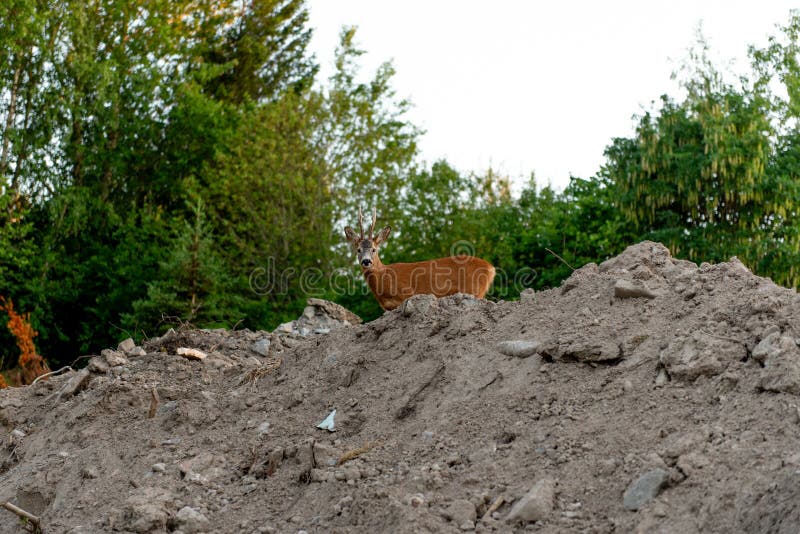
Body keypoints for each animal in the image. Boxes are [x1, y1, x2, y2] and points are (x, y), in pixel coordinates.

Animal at [344, 207, 496, 310]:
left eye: (374, 250)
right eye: (358, 250)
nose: (366, 261)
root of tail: (491, 268)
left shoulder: (406, 294)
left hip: (475, 289)